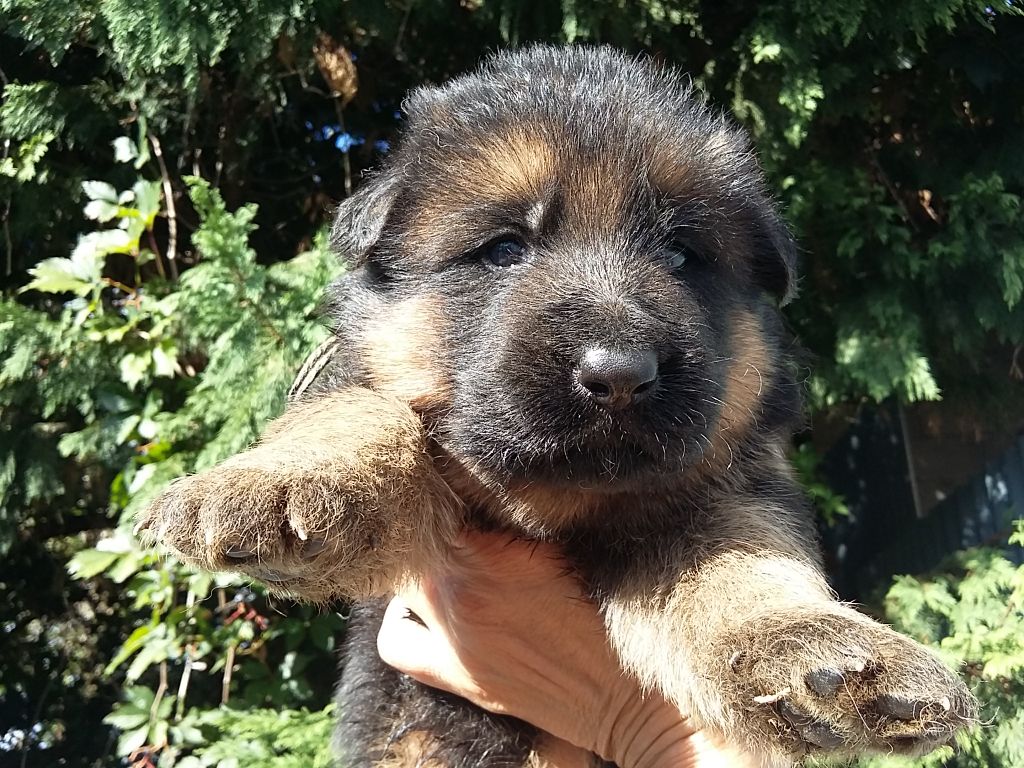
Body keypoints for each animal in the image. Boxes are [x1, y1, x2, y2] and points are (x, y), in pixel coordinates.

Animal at [138, 45, 974, 765]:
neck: (553, 510)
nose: (620, 374)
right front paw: (274, 481)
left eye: (683, 255)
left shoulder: (721, 486)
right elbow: (361, 411)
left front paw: (822, 650)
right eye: (505, 249)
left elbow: (742, 563)